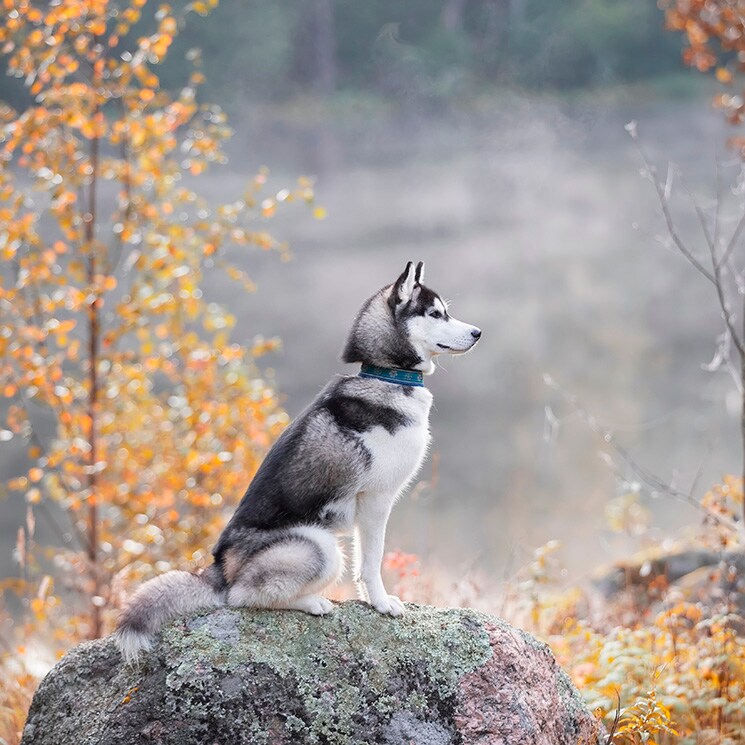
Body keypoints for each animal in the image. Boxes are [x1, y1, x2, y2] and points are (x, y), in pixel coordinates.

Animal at [113, 262, 480, 664]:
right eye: (436, 314)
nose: (478, 333)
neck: (386, 376)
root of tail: (217, 569)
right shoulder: (376, 499)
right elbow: (372, 562)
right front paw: (382, 604)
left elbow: (363, 563)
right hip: (318, 546)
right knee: (241, 597)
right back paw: (312, 602)